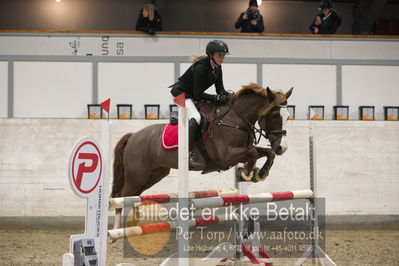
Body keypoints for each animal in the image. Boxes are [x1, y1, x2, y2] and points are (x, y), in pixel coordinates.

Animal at [111, 83, 292, 229]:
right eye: (274, 115)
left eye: (288, 117)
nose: (282, 147)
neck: (235, 119)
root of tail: (133, 136)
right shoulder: (226, 156)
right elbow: (253, 152)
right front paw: (247, 172)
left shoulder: (243, 150)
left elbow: (267, 152)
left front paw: (259, 173)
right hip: (137, 176)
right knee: (120, 197)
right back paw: (116, 230)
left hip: (154, 174)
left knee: (134, 196)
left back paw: (133, 225)